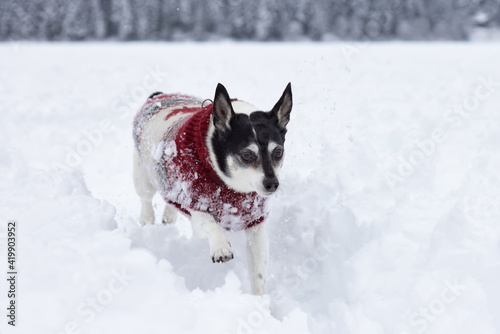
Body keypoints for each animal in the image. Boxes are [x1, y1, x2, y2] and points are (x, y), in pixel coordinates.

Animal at [132, 83, 292, 294]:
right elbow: (212, 225)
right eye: (247, 155)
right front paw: (221, 247)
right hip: (142, 175)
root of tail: (158, 96)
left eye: (278, 152)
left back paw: (168, 215)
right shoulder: (197, 210)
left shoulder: (255, 226)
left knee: (170, 197)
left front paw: (259, 301)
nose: (272, 183)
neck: (233, 187)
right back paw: (147, 219)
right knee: (146, 198)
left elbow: (258, 274)